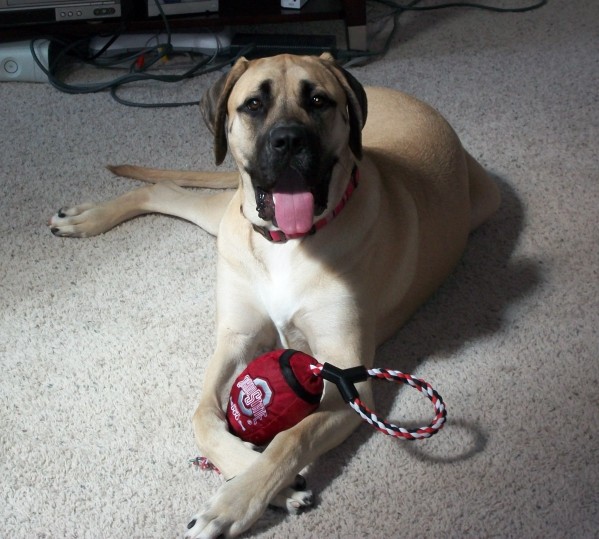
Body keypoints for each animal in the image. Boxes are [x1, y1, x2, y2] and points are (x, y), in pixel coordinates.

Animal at [49, 52, 502, 536]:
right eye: (253, 104)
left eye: (319, 100)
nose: (288, 141)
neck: (289, 243)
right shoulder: (236, 338)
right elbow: (202, 416)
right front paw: (264, 479)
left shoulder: (347, 380)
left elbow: (291, 437)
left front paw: (236, 501)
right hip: (227, 218)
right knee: (164, 189)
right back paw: (86, 218)